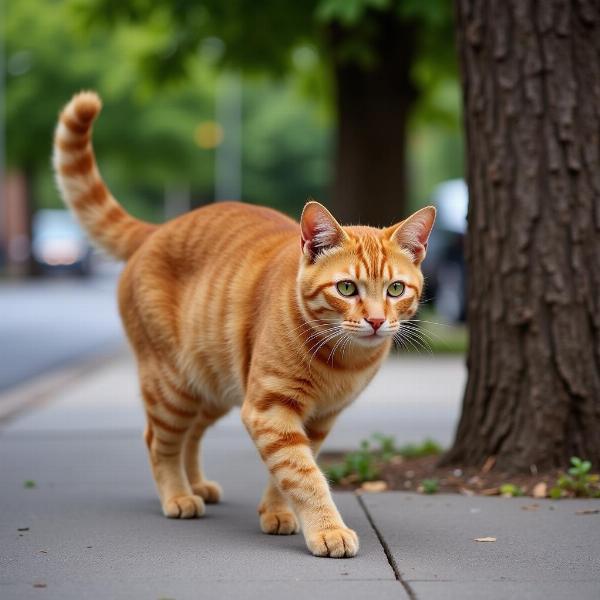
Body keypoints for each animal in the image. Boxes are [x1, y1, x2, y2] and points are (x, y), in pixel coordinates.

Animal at [54, 92, 434, 556]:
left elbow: (288, 470)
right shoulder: (270, 408)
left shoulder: (313, 420)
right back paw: (178, 495)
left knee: (190, 436)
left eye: (396, 290)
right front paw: (327, 529)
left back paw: (197, 484)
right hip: (173, 385)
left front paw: (278, 511)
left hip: (212, 385)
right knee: (158, 440)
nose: (377, 321)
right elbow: (303, 475)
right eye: (346, 288)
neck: (342, 363)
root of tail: (160, 228)